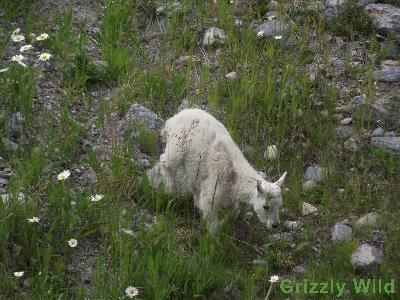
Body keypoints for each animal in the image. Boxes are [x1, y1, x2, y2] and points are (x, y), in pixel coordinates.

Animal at [152, 108, 286, 234]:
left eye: (280, 205)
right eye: (265, 206)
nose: (275, 225)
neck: (234, 177)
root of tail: (174, 118)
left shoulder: (230, 194)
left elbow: (234, 211)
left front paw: (223, 224)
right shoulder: (214, 190)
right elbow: (210, 216)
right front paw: (213, 237)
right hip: (178, 144)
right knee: (165, 161)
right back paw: (170, 188)